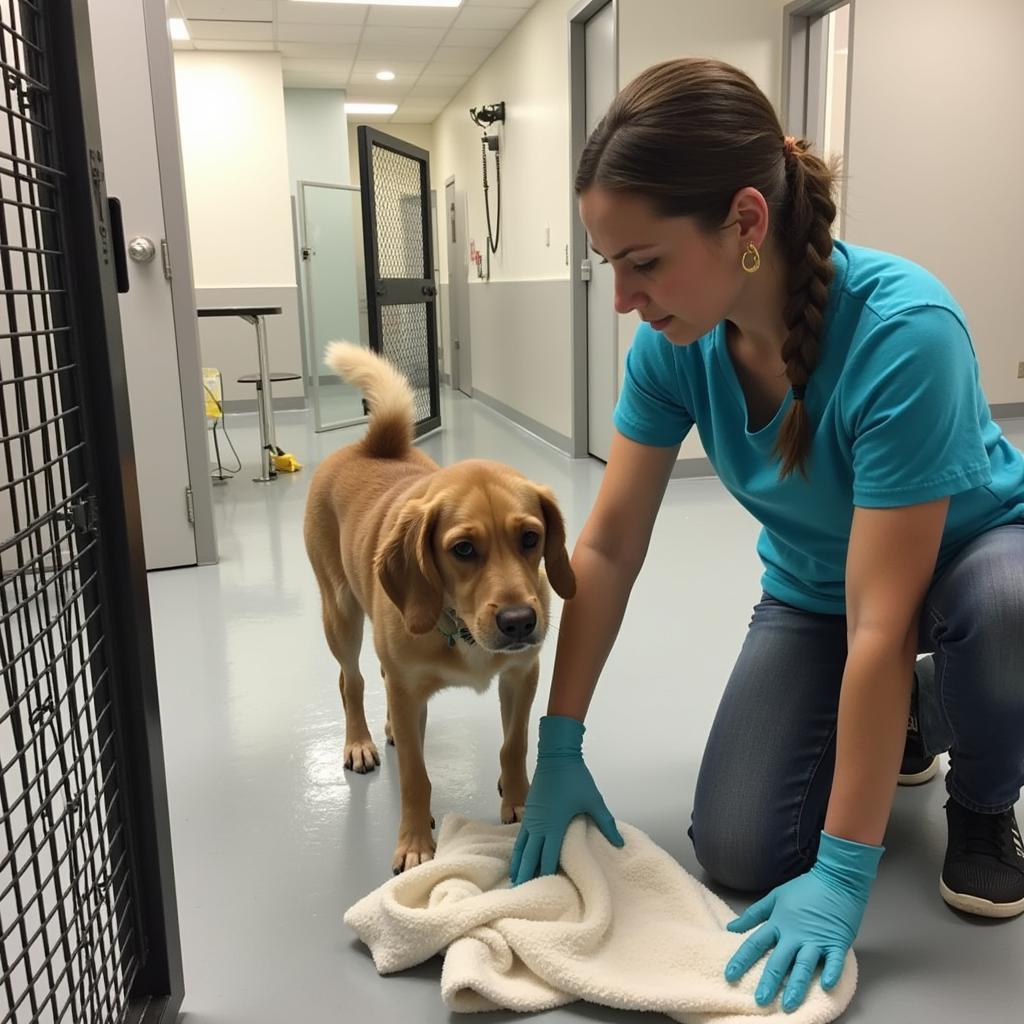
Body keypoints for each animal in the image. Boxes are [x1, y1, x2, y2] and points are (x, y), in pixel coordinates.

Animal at [303, 342, 577, 872]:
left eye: (531, 538)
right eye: (463, 549)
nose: (519, 623)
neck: (460, 625)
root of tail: (371, 446)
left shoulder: (521, 676)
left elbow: (514, 744)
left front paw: (520, 801)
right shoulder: (410, 693)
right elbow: (415, 775)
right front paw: (413, 841)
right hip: (340, 615)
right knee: (353, 681)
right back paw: (359, 740)